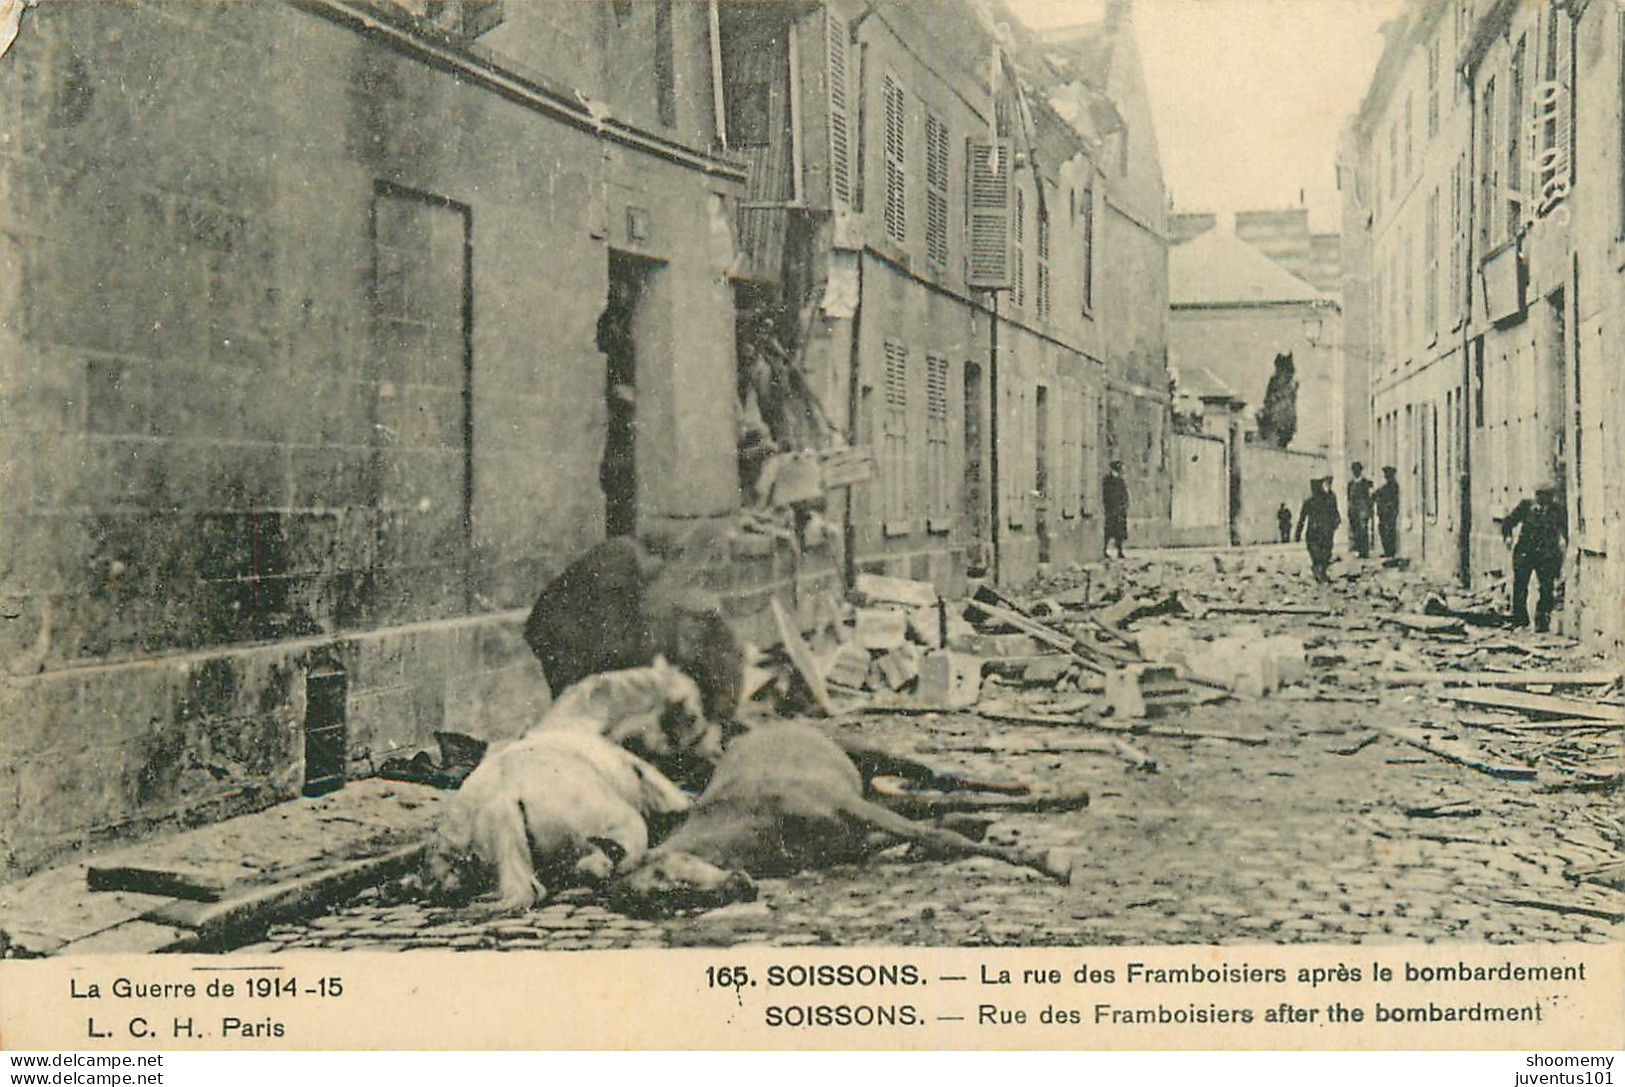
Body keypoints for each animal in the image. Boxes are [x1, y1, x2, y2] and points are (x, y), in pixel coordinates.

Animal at [611, 721, 1079, 916]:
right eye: (662, 902)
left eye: (668, 878)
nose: (739, 888)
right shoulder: (852, 836)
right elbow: (930, 832)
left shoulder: (848, 806)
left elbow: (938, 836)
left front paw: (1048, 862)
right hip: (874, 790)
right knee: (933, 797)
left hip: (872, 757)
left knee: (939, 777)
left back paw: (1043, 791)